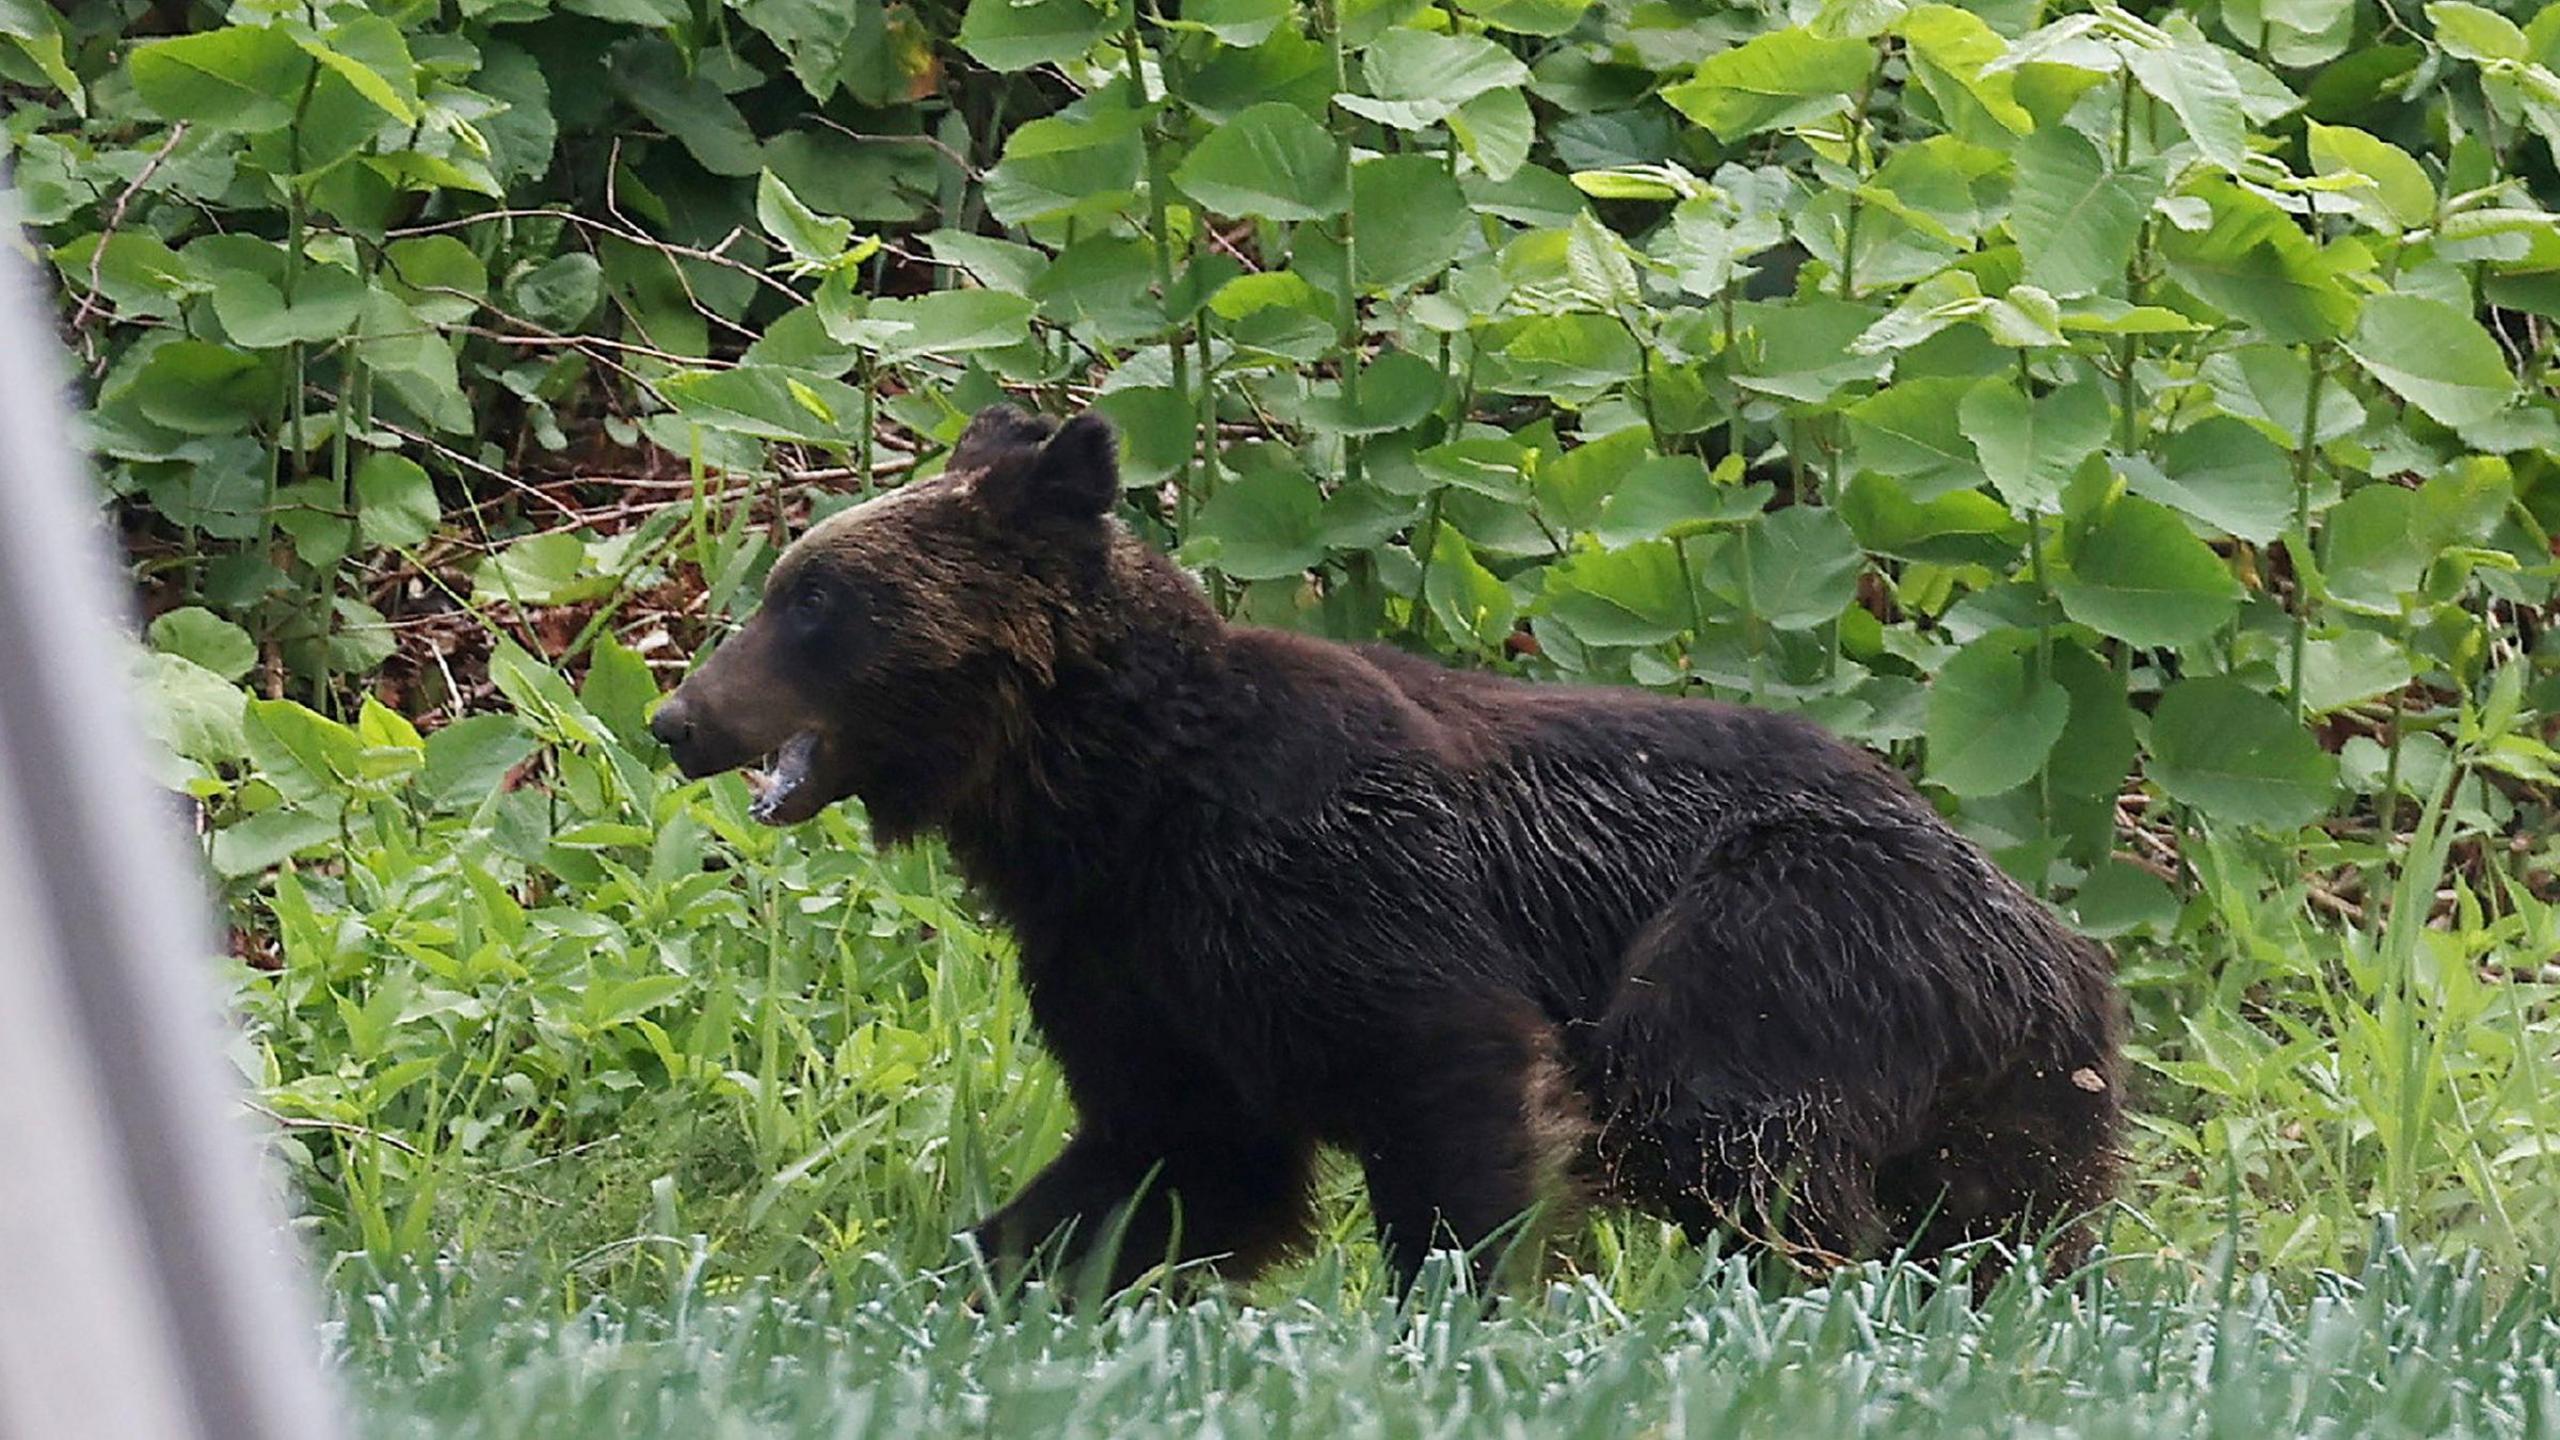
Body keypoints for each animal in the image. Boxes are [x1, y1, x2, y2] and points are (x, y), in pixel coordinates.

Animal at [650, 399, 2129, 1291]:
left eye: (816, 599)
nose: (676, 716)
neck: (1110, 800)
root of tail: (2055, 934)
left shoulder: (1339, 881)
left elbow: (1452, 1086)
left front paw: (1455, 1306)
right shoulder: (1129, 964)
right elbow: (1170, 1158)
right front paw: (988, 1275)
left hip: (1795, 924)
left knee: (1720, 1117)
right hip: (2014, 1092)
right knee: (2004, 1224)